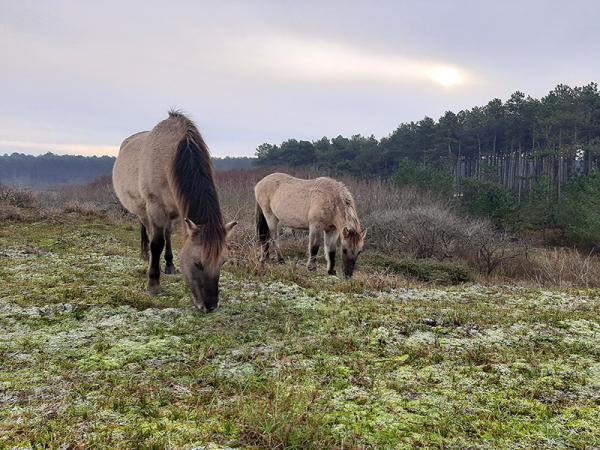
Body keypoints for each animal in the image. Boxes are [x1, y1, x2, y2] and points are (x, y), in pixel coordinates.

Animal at [112, 110, 237, 312]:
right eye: (197, 263)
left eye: (222, 262)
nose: (210, 306)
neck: (169, 158)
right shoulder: (155, 207)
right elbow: (156, 243)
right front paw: (153, 284)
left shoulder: (177, 212)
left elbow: (167, 237)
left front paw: (168, 265)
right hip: (143, 211)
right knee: (148, 231)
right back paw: (146, 256)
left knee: (167, 234)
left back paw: (169, 265)